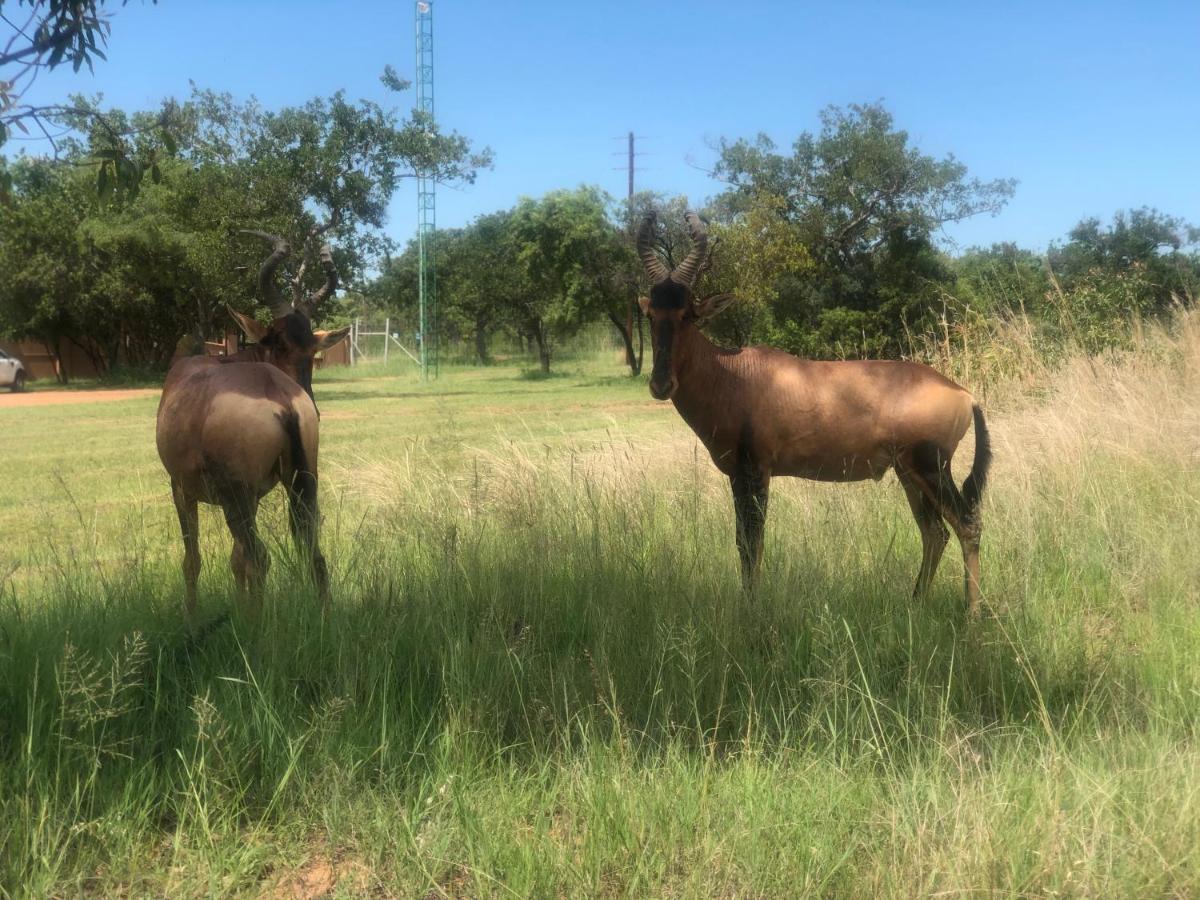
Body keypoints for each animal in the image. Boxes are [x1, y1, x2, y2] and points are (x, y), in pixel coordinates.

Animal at [154, 229, 348, 619]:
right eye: (279, 344)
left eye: (311, 352)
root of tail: (282, 398)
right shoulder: (258, 494)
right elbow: (235, 559)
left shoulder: (181, 488)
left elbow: (194, 560)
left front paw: (193, 619)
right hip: (303, 483)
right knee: (313, 552)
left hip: (236, 498)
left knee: (259, 557)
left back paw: (256, 626)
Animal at [638, 214, 993, 619]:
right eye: (650, 312)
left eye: (688, 314)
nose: (661, 384)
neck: (734, 372)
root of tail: (964, 395)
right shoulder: (738, 476)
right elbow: (743, 542)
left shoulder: (755, 472)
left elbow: (752, 543)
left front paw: (751, 611)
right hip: (909, 474)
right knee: (935, 532)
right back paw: (915, 604)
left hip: (932, 469)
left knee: (967, 525)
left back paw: (972, 617)